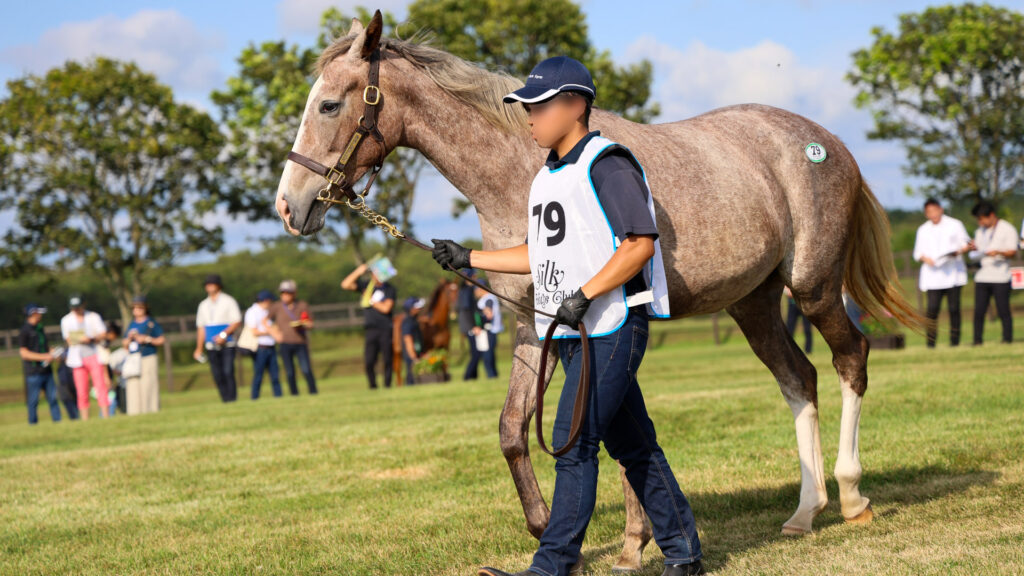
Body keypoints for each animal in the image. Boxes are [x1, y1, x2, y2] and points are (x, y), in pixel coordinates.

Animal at [275, 12, 922, 571]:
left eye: (329, 103)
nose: (289, 206)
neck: (527, 171)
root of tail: (825, 140)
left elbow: (608, 428)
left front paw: (633, 544)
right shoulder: (533, 327)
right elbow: (516, 430)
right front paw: (560, 530)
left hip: (813, 287)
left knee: (850, 359)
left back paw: (851, 496)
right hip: (754, 304)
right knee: (799, 379)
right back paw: (804, 511)